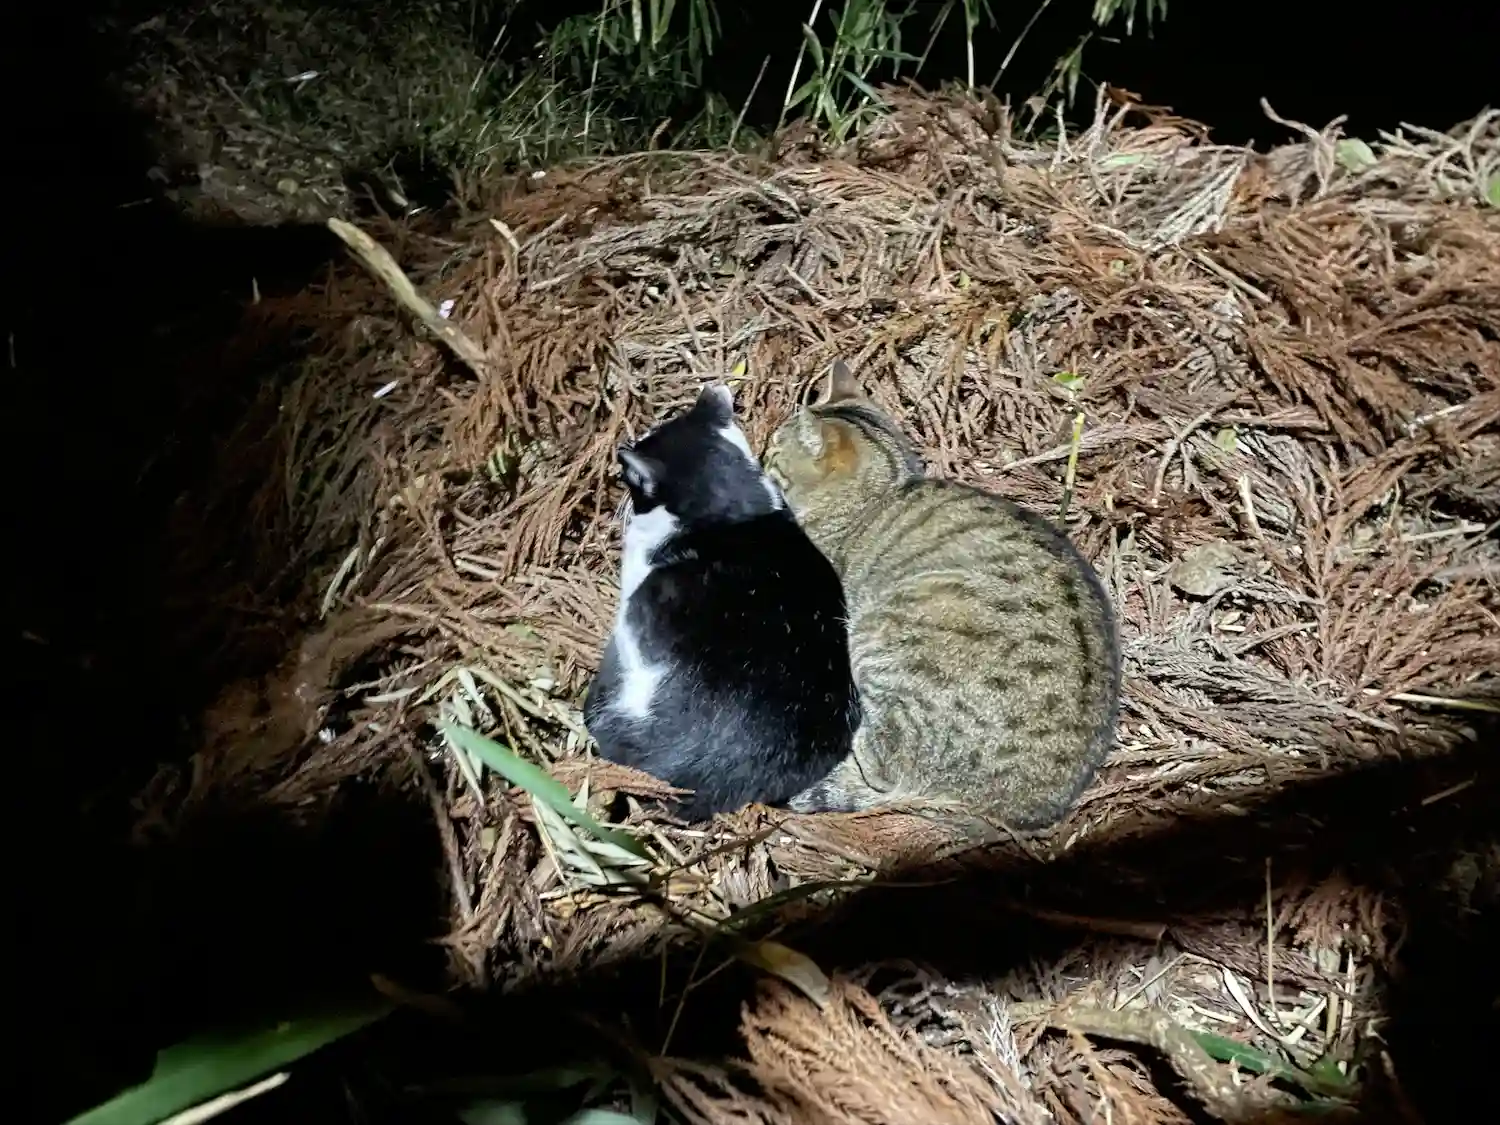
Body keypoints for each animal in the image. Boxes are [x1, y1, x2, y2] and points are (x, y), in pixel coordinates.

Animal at [762, 359, 1122, 830]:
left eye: (772, 454)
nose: (756, 455)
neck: (878, 493)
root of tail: (1000, 807)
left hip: (884, 634)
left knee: (877, 759)